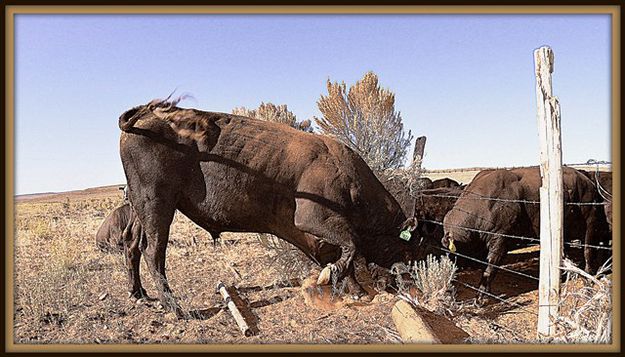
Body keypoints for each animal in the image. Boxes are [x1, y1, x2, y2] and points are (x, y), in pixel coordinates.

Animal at [117, 97, 420, 312]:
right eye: (402, 244)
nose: (407, 276)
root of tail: (144, 114)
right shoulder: (314, 221)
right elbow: (350, 246)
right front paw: (331, 280)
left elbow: (344, 253)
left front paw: (356, 290)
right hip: (157, 204)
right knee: (153, 251)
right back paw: (175, 308)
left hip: (141, 206)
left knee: (132, 244)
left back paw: (138, 295)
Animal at [438, 167, 608, 294]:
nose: (451, 272)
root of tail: (589, 183)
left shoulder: (501, 240)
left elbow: (490, 268)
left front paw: (481, 296)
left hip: (590, 226)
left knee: (588, 252)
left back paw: (589, 279)